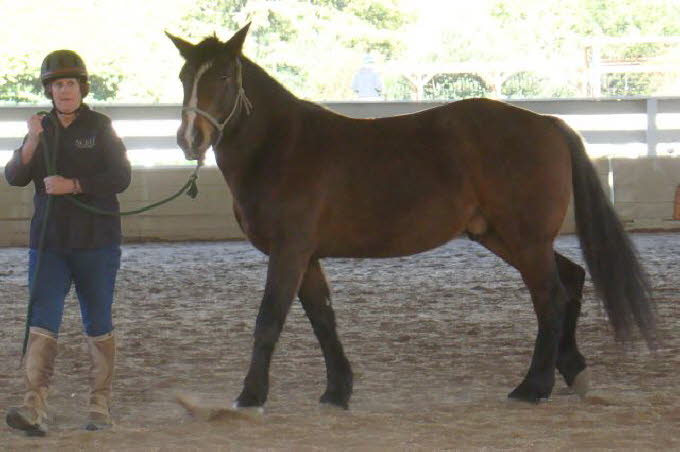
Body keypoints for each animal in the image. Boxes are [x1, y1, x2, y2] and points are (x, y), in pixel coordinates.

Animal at [165, 25, 652, 410]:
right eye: (185, 77)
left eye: (223, 76)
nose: (191, 138)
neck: (282, 145)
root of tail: (549, 122)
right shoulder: (307, 256)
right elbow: (323, 318)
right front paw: (337, 391)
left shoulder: (289, 251)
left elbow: (269, 320)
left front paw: (250, 396)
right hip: (504, 237)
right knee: (569, 281)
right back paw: (573, 370)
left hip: (525, 239)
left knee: (550, 297)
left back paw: (533, 386)